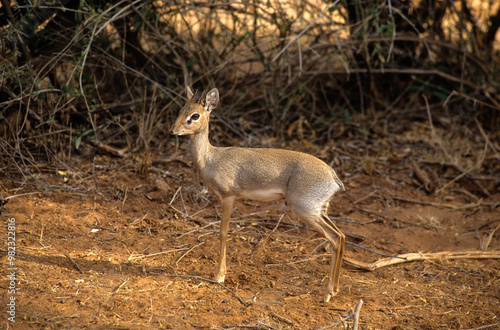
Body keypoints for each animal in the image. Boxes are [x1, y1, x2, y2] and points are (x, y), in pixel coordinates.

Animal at [170, 85, 346, 302]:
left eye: (195, 115)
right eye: (181, 109)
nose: (173, 130)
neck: (211, 159)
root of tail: (333, 177)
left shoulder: (228, 197)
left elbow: (223, 232)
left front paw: (219, 276)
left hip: (305, 211)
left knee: (334, 239)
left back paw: (327, 293)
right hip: (320, 211)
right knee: (341, 236)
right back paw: (334, 289)